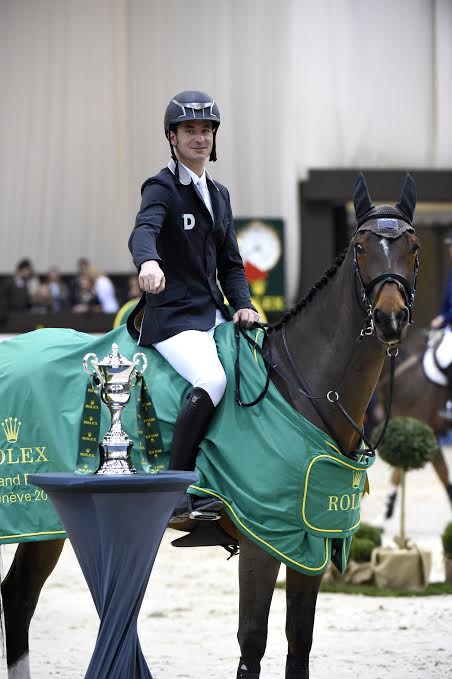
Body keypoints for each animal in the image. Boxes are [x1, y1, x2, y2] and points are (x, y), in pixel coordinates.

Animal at [1, 173, 420, 676]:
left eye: (413, 246)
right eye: (359, 247)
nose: (390, 318)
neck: (301, 388)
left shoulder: (309, 537)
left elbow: (299, 640)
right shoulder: (265, 536)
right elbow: (252, 640)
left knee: (19, 594)